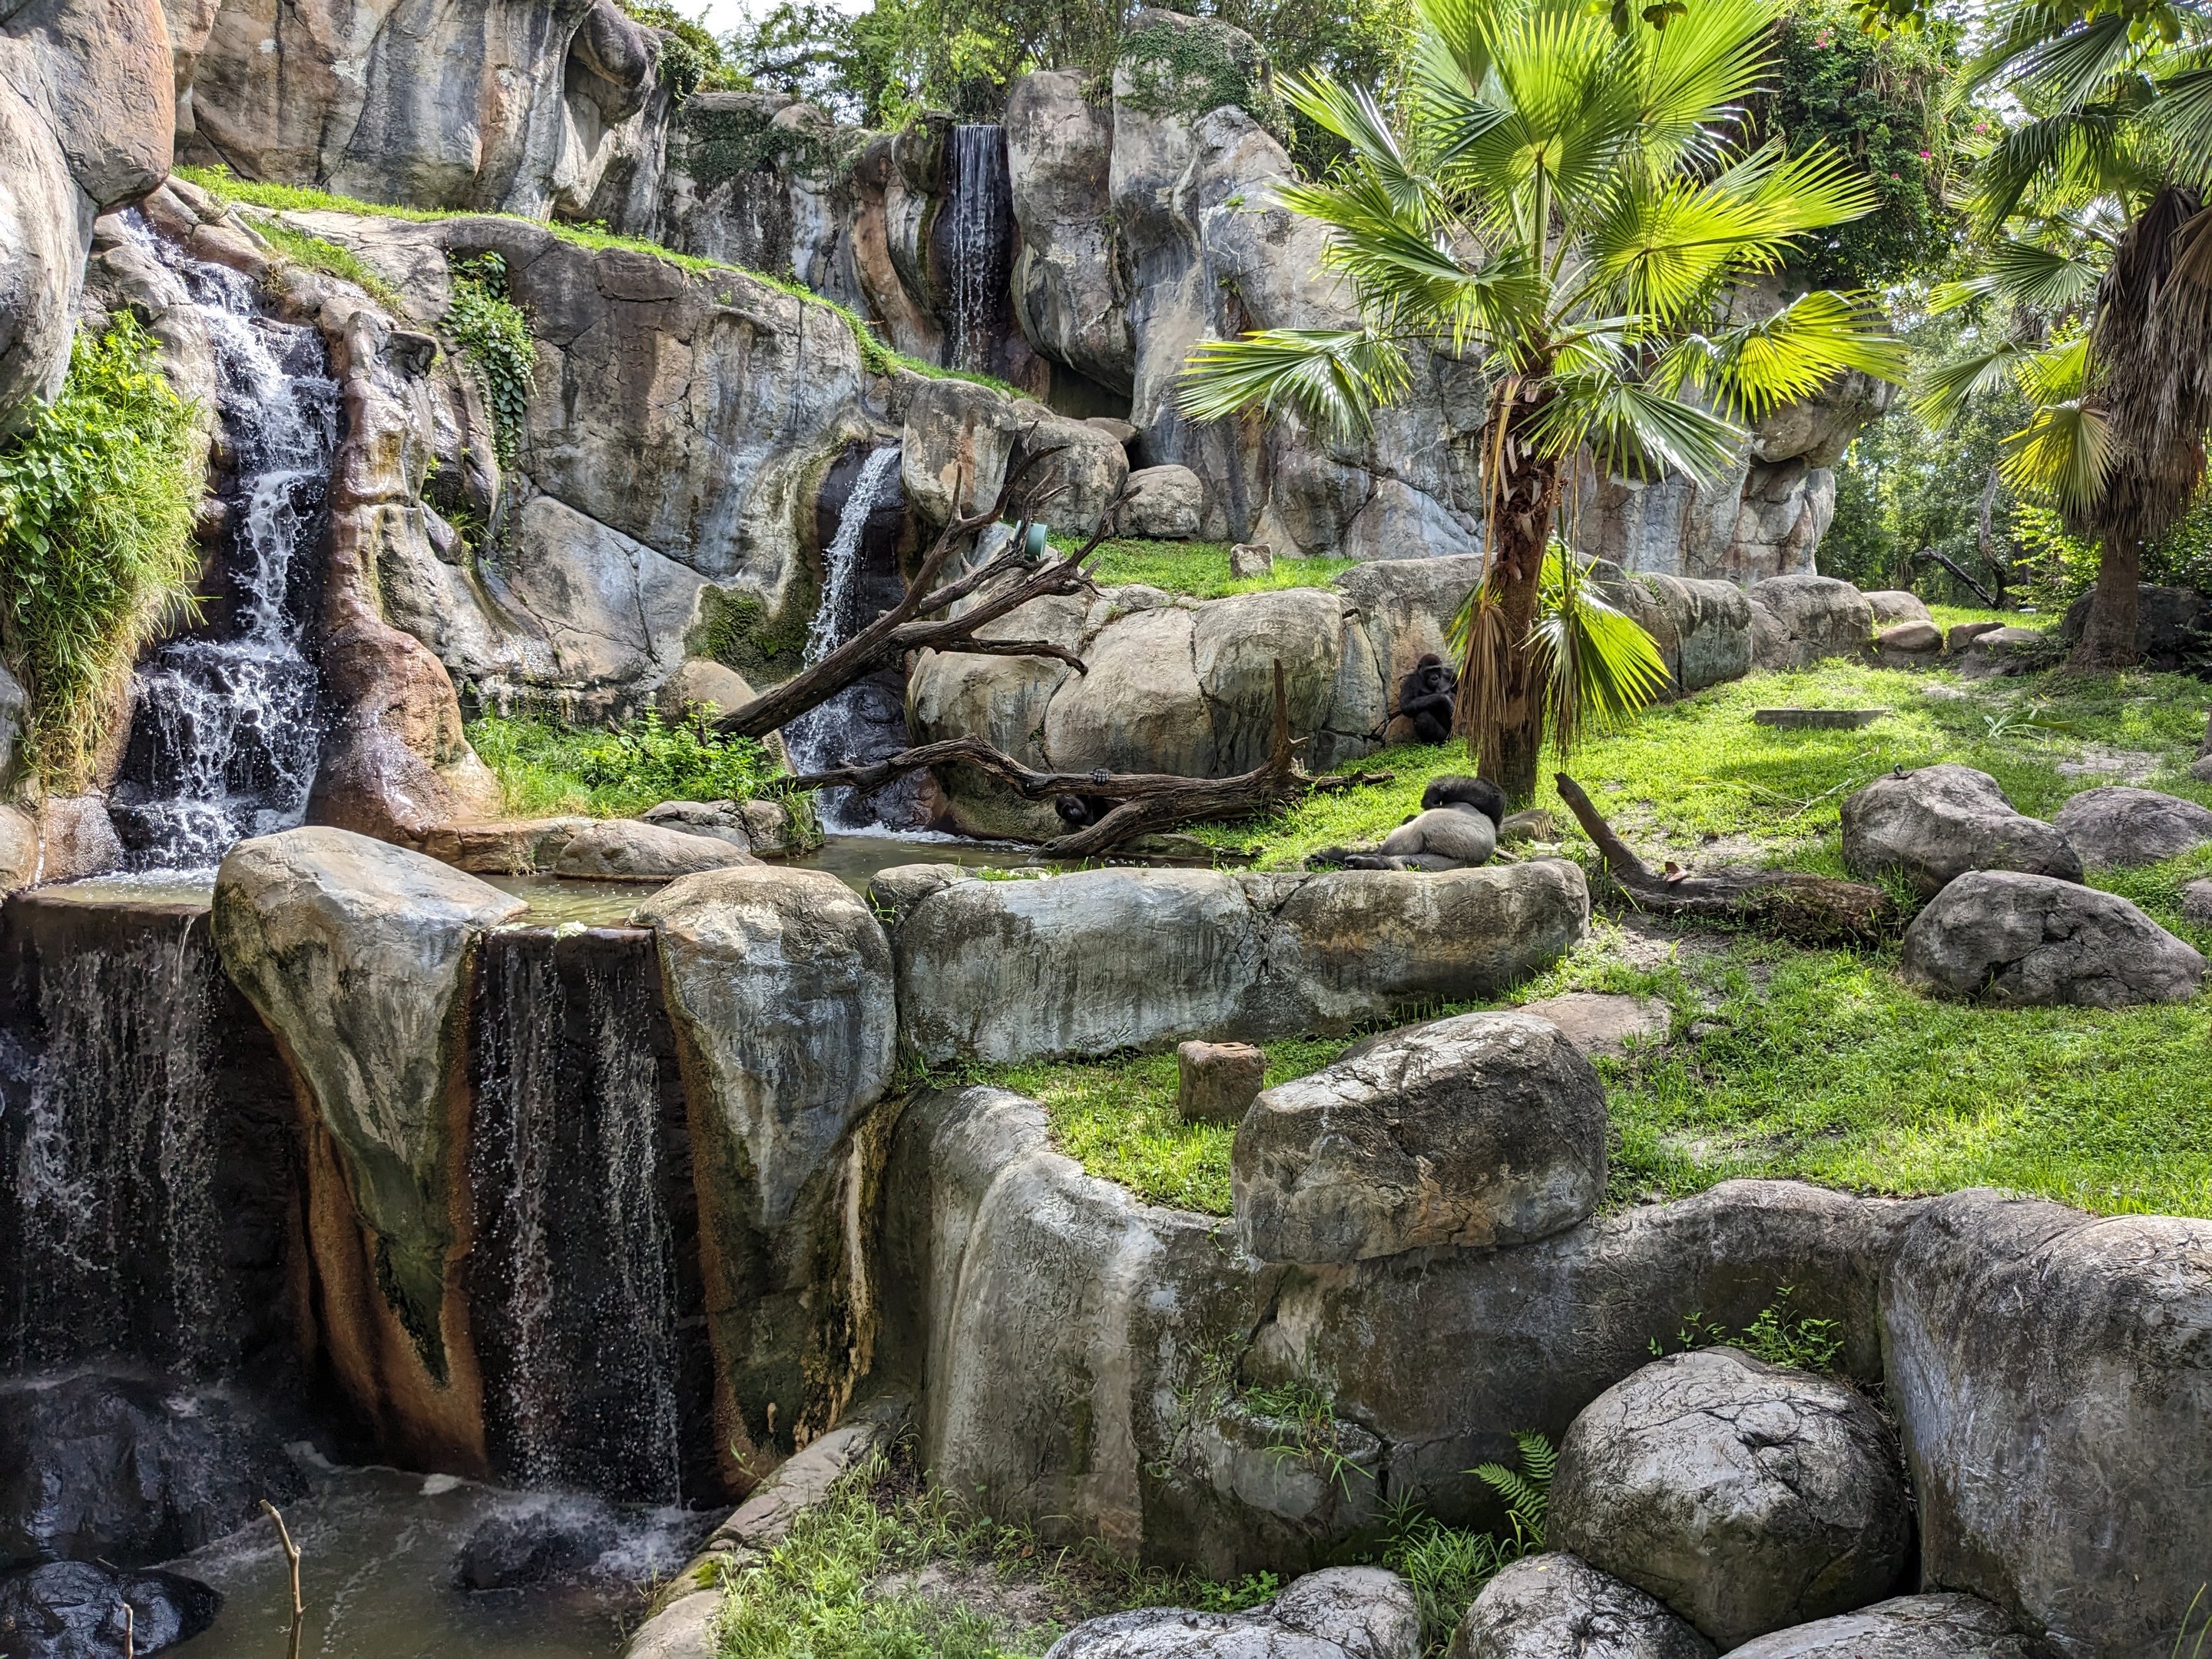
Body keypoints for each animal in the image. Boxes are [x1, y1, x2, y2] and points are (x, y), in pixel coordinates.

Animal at [1307, 774, 1506, 871]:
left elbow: (1491, 796)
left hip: (1458, 835)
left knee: (1412, 834)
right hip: (1456, 861)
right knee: (1418, 862)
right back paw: (1379, 863)